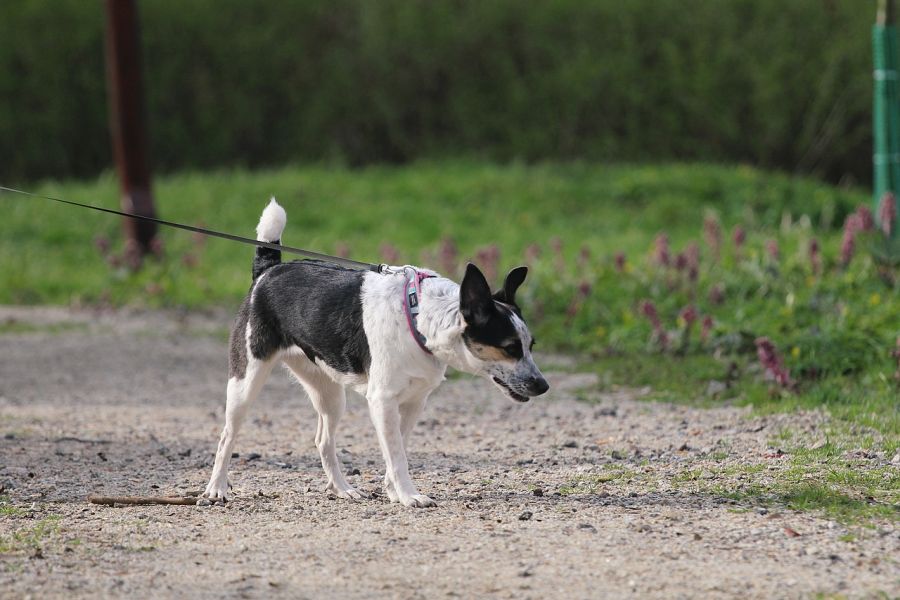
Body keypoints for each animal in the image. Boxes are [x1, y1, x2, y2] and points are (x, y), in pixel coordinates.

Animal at [201, 200, 548, 506]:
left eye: (531, 345)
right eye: (510, 348)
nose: (543, 385)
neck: (418, 317)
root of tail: (268, 271)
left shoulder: (412, 403)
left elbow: (398, 450)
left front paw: (394, 491)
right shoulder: (382, 402)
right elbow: (396, 455)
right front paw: (409, 496)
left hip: (329, 394)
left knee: (323, 441)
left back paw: (342, 489)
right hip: (246, 382)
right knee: (226, 436)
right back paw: (217, 488)